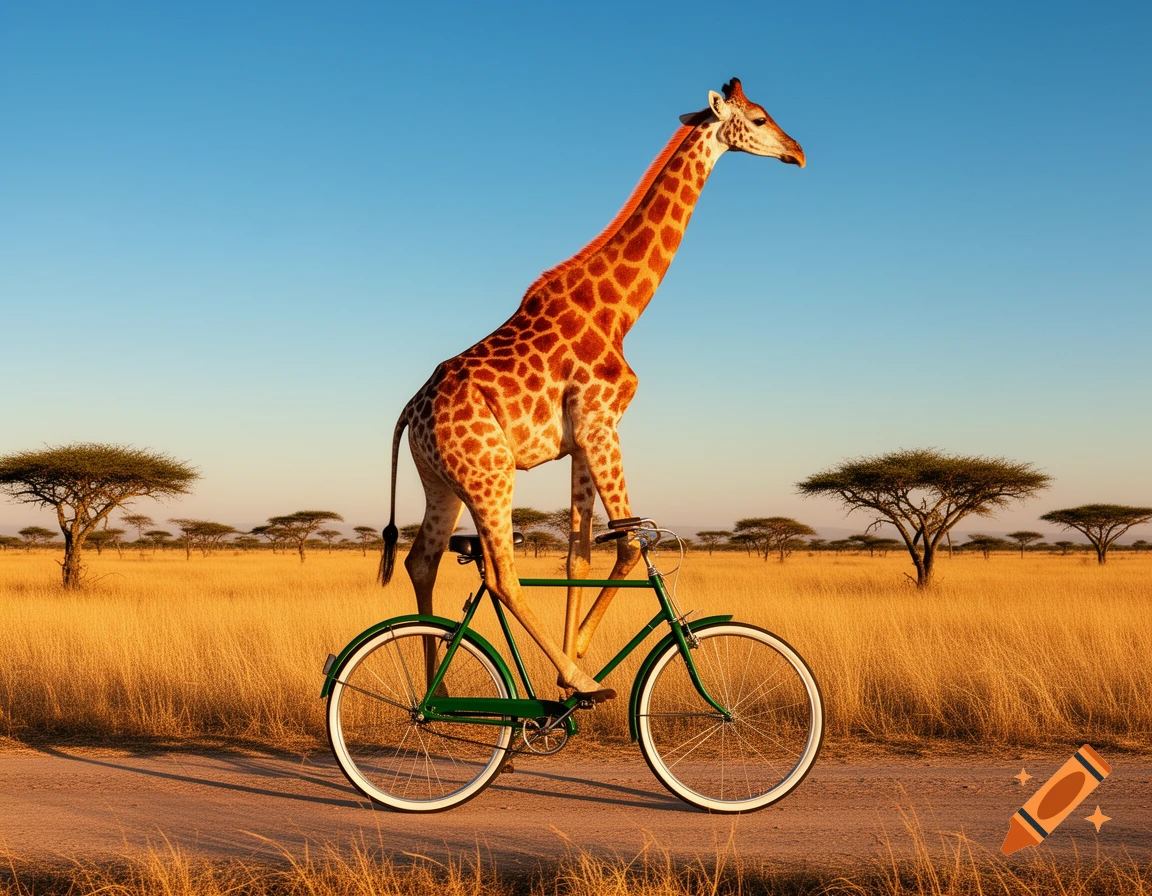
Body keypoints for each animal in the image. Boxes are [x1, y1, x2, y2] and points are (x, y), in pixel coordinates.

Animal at [379, 78, 804, 701]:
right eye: (758, 118)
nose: (798, 153)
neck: (621, 312)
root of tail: (410, 409)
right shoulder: (603, 424)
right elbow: (627, 543)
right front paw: (574, 668)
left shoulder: (582, 438)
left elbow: (578, 556)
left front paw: (572, 659)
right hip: (489, 474)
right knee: (501, 575)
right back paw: (572, 681)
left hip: (441, 480)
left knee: (422, 561)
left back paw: (440, 693)